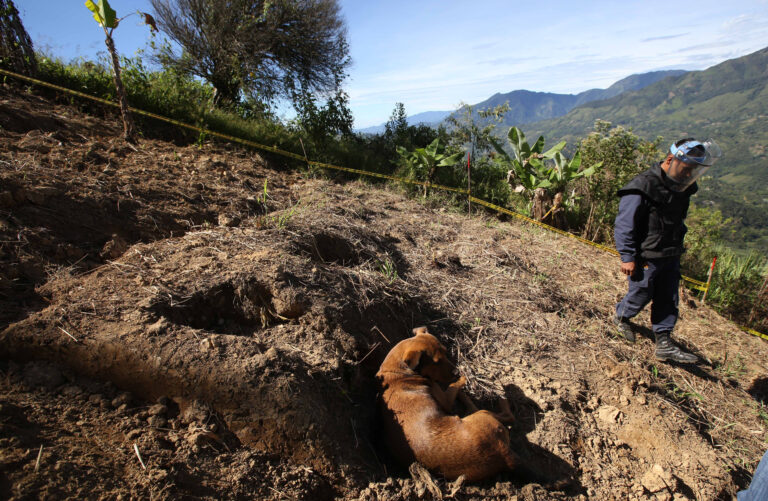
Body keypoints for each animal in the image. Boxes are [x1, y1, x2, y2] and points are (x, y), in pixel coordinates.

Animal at [376, 326, 528, 482]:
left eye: (445, 351)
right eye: (436, 362)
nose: (456, 371)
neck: (398, 372)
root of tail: (503, 454)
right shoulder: (445, 399)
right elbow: (454, 384)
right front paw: (463, 378)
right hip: (483, 415)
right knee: (507, 416)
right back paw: (498, 396)